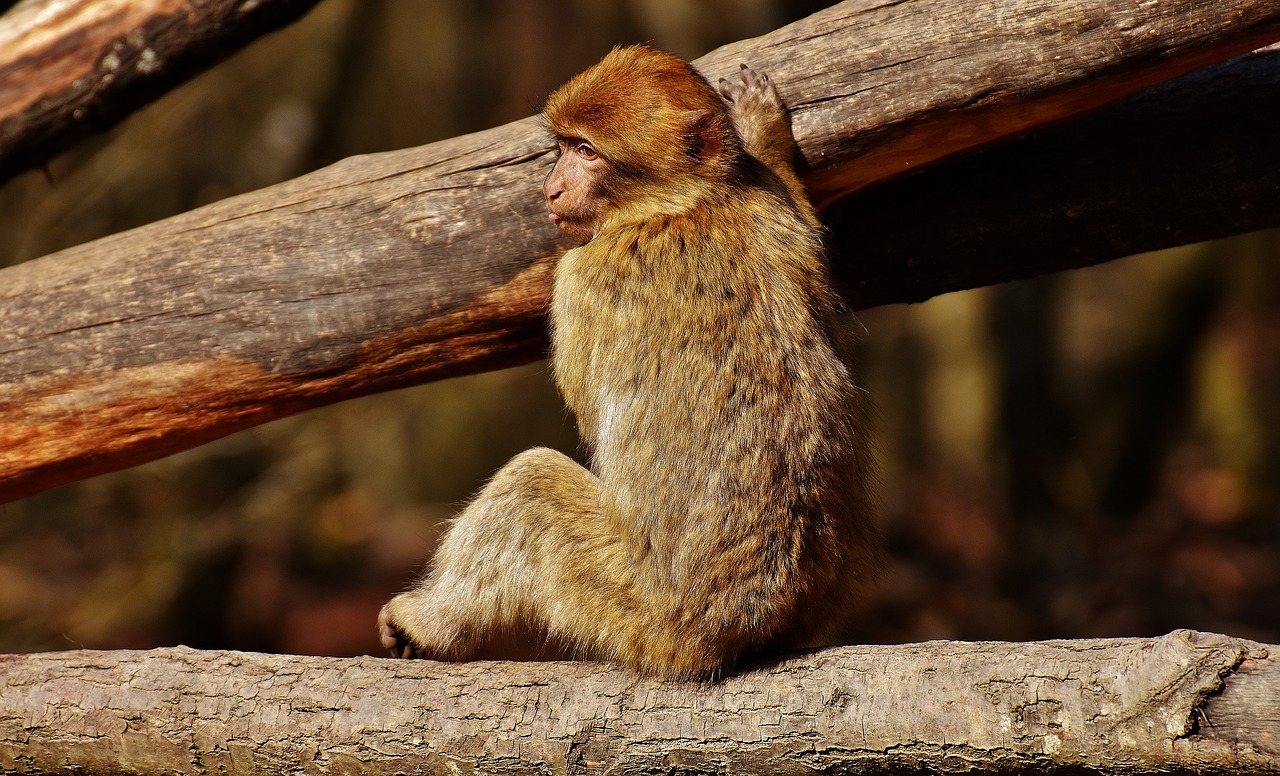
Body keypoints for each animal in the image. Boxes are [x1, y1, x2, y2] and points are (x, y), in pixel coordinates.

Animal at [376, 45, 880, 681]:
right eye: (564, 146)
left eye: (587, 152)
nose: (552, 188)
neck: (681, 205)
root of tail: (746, 629)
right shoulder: (771, 215)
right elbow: (809, 230)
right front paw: (763, 132)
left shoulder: (579, 277)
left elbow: (587, 418)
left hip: (634, 606)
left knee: (530, 487)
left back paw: (431, 627)